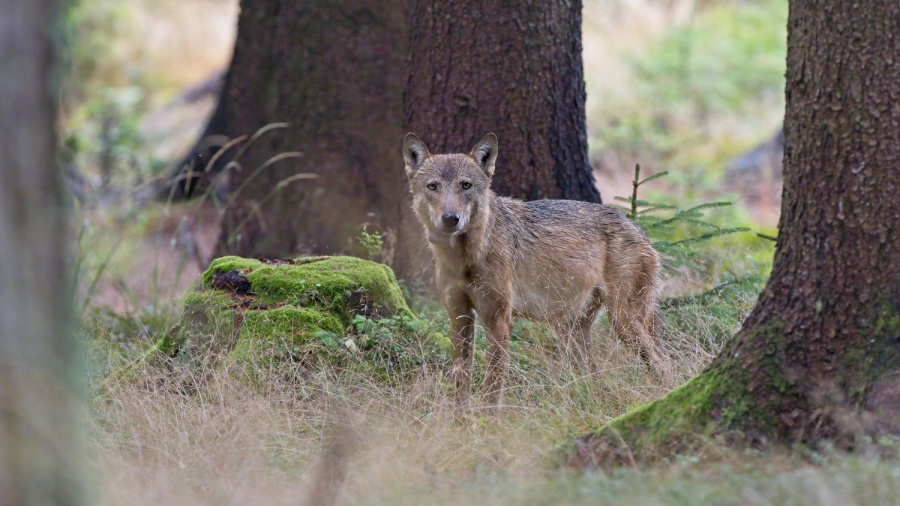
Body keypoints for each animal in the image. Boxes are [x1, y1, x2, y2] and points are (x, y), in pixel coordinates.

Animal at [404, 133, 672, 408]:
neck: (463, 259)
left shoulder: (498, 319)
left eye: (465, 185)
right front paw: (461, 418)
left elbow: (492, 383)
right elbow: (461, 382)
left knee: (665, 364)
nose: (451, 218)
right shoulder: (459, 318)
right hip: (571, 331)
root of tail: (641, 231)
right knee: (594, 375)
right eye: (433, 187)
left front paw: (486, 418)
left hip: (622, 322)